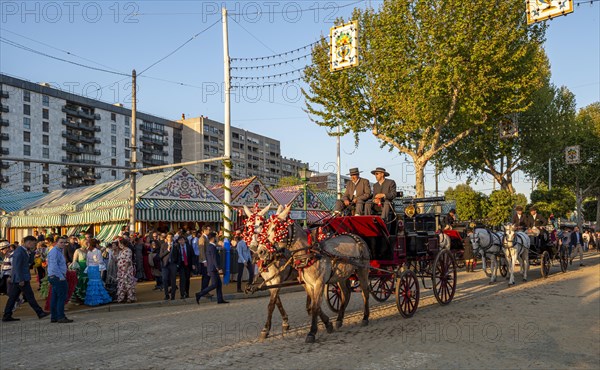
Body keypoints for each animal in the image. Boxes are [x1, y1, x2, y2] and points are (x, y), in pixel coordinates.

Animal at [262, 204, 370, 342]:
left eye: (276, 228)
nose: (262, 251)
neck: (310, 253)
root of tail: (358, 238)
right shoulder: (309, 284)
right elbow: (315, 305)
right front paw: (327, 324)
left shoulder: (318, 283)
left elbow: (315, 307)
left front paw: (312, 332)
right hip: (342, 276)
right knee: (346, 293)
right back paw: (339, 319)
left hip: (362, 270)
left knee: (365, 292)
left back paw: (365, 317)